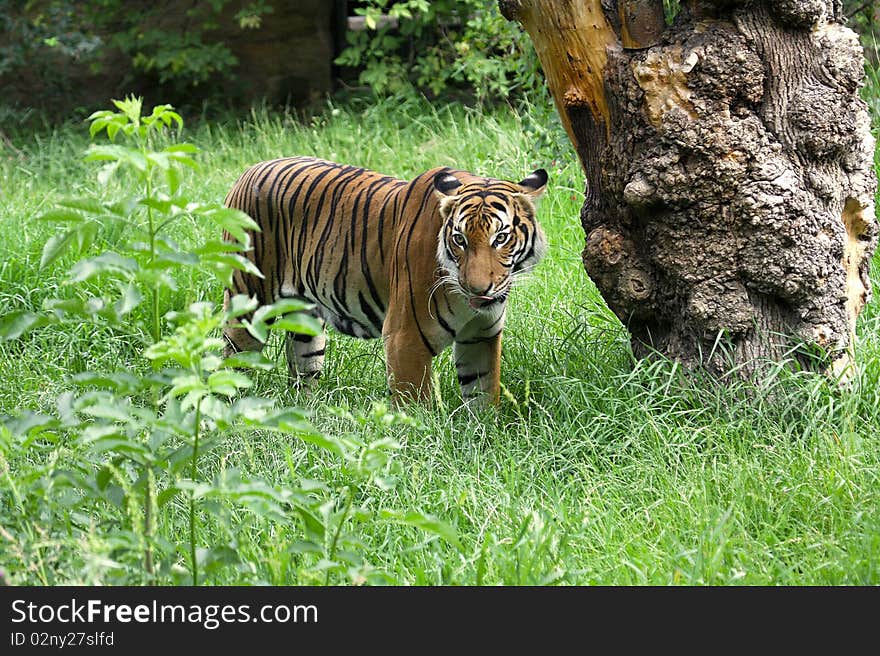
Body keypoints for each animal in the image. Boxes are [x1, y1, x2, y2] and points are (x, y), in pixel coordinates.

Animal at [222, 158, 544, 404]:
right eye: (459, 239)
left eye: (500, 238)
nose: (476, 289)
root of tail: (248, 172)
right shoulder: (406, 337)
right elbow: (414, 407)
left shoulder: (481, 336)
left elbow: (483, 396)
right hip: (248, 306)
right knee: (231, 364)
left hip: (306, 324)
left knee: (302, 374)